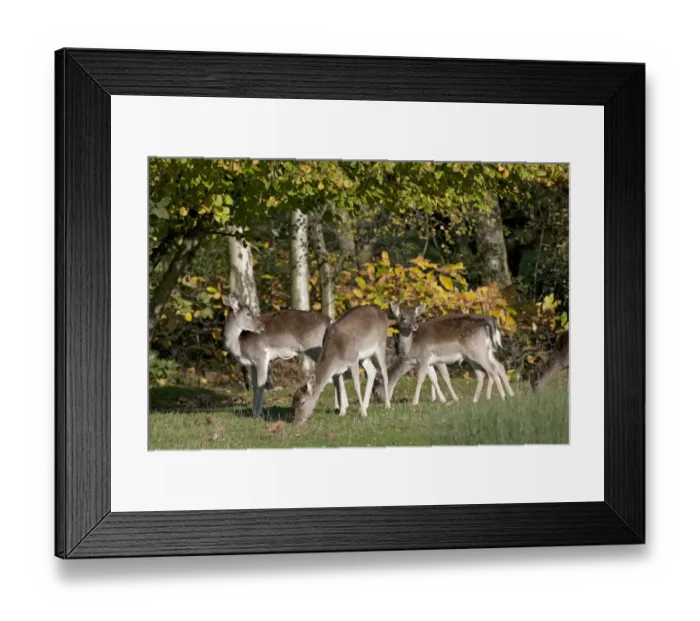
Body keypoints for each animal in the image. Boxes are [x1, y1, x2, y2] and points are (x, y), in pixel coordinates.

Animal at [377, 303, 515, 405]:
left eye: (415, 317)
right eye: (403, 317)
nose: (381, 400)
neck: (410, 351)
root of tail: (488, 324)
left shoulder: (426, 357)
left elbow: (423, 378)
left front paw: (415, 402)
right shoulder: (429, 362)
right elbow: (435, 378)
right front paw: (444, 400)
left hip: (478, 351)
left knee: (492, 369)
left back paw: (502, 397)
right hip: (477, 354)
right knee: (490, 370)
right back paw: (480, 399)